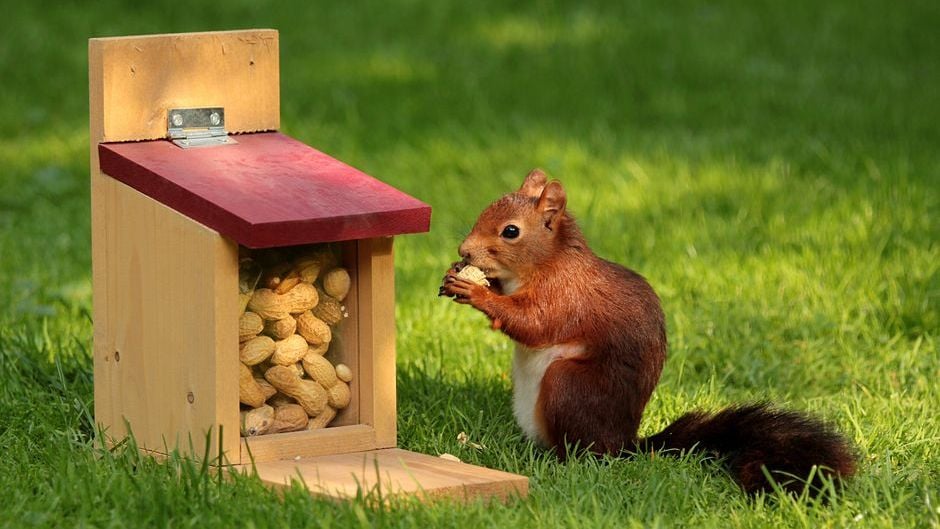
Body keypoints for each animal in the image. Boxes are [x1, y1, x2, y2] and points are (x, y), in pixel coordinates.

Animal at [440, 169, 857, 495]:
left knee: (586, 453)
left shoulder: (566, 295)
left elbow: (533, 324)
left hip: (568, 386)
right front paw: (459, 276)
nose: (464, 250)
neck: (546, 263)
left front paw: (476, 292)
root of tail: (625, 444)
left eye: (511, 231)